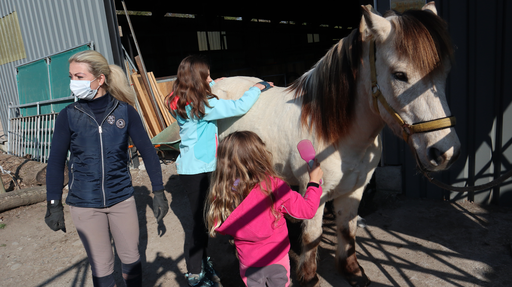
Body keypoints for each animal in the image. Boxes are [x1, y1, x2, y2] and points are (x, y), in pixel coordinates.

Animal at [212, 2, 460, 287]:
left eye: (445, 73)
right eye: (400, 75)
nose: (445, 153)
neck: (335, 137)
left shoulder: (354, 189)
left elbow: (347, 229)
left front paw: (352, 270)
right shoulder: (314, 195)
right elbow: (313, 235)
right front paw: (309, 277)